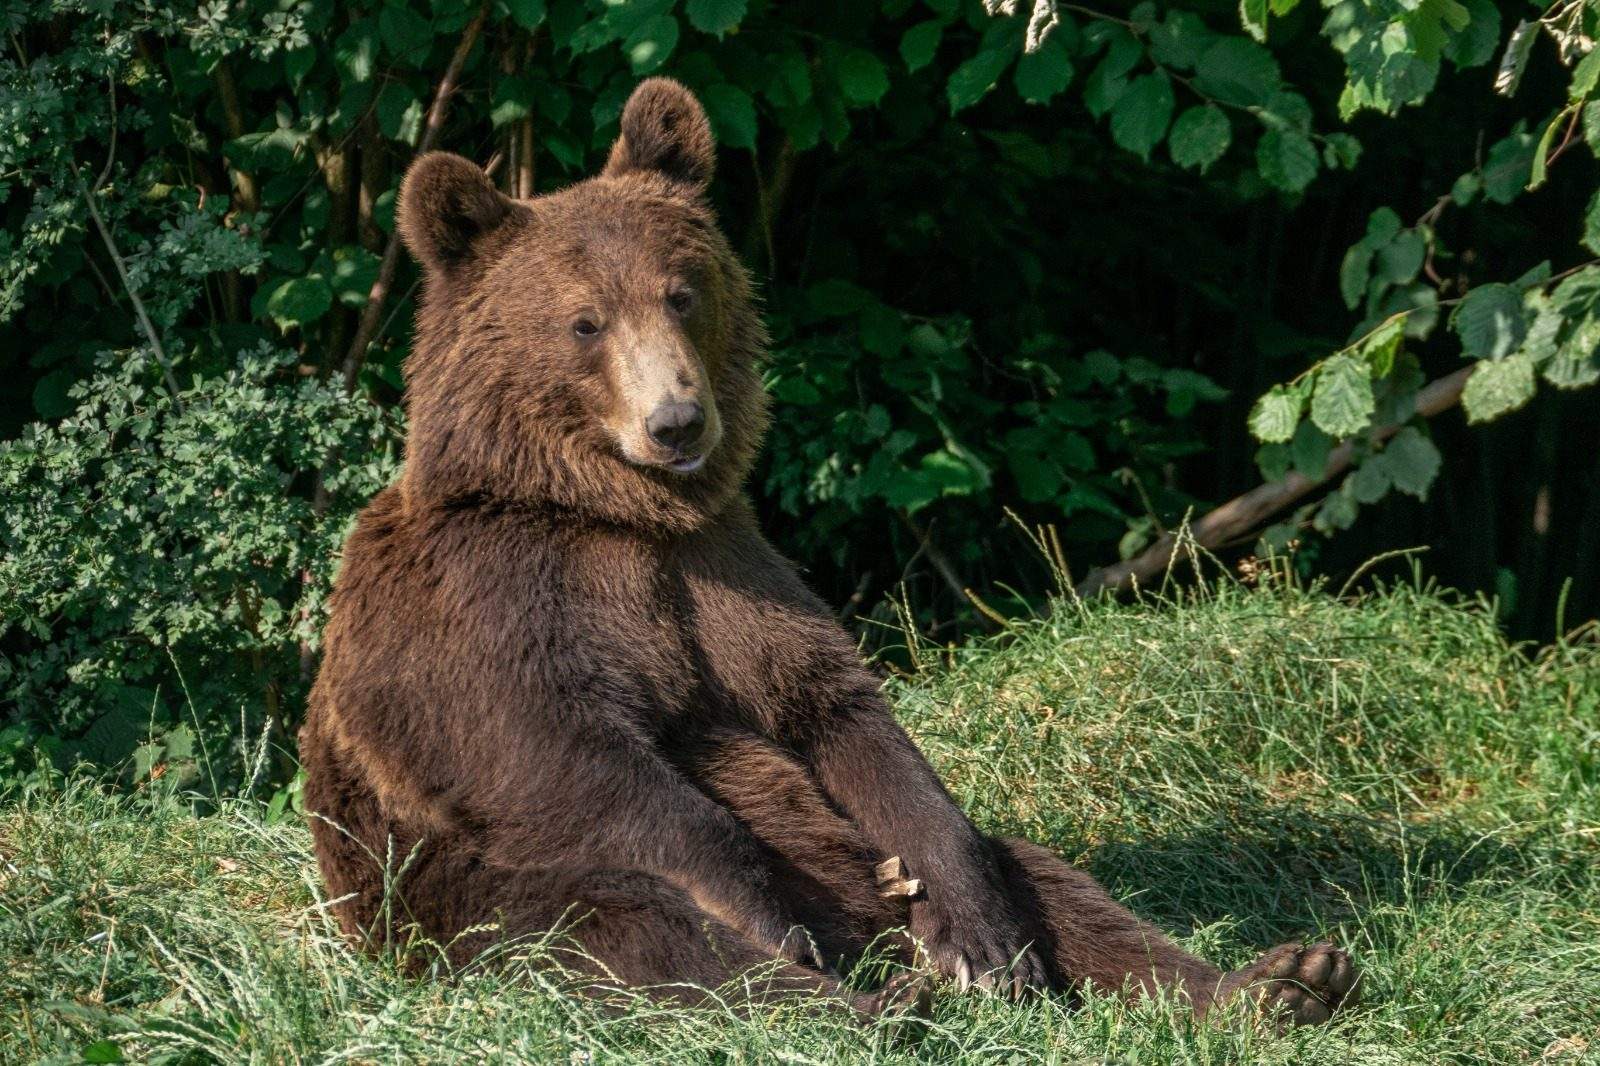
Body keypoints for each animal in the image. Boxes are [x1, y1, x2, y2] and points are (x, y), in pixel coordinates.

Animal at [297, 74, 1350, 1024]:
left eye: (683, 293)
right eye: (585, 320)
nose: (678, 422)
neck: (612, 509)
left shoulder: (728, 574)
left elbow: (846, 720)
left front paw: (979, 942)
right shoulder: (491, 602)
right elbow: (564, 754)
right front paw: (771, 916)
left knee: (1045, 879)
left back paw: (1274, 981)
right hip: (469, 901)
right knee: (636, 938)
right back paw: (874, 1000)